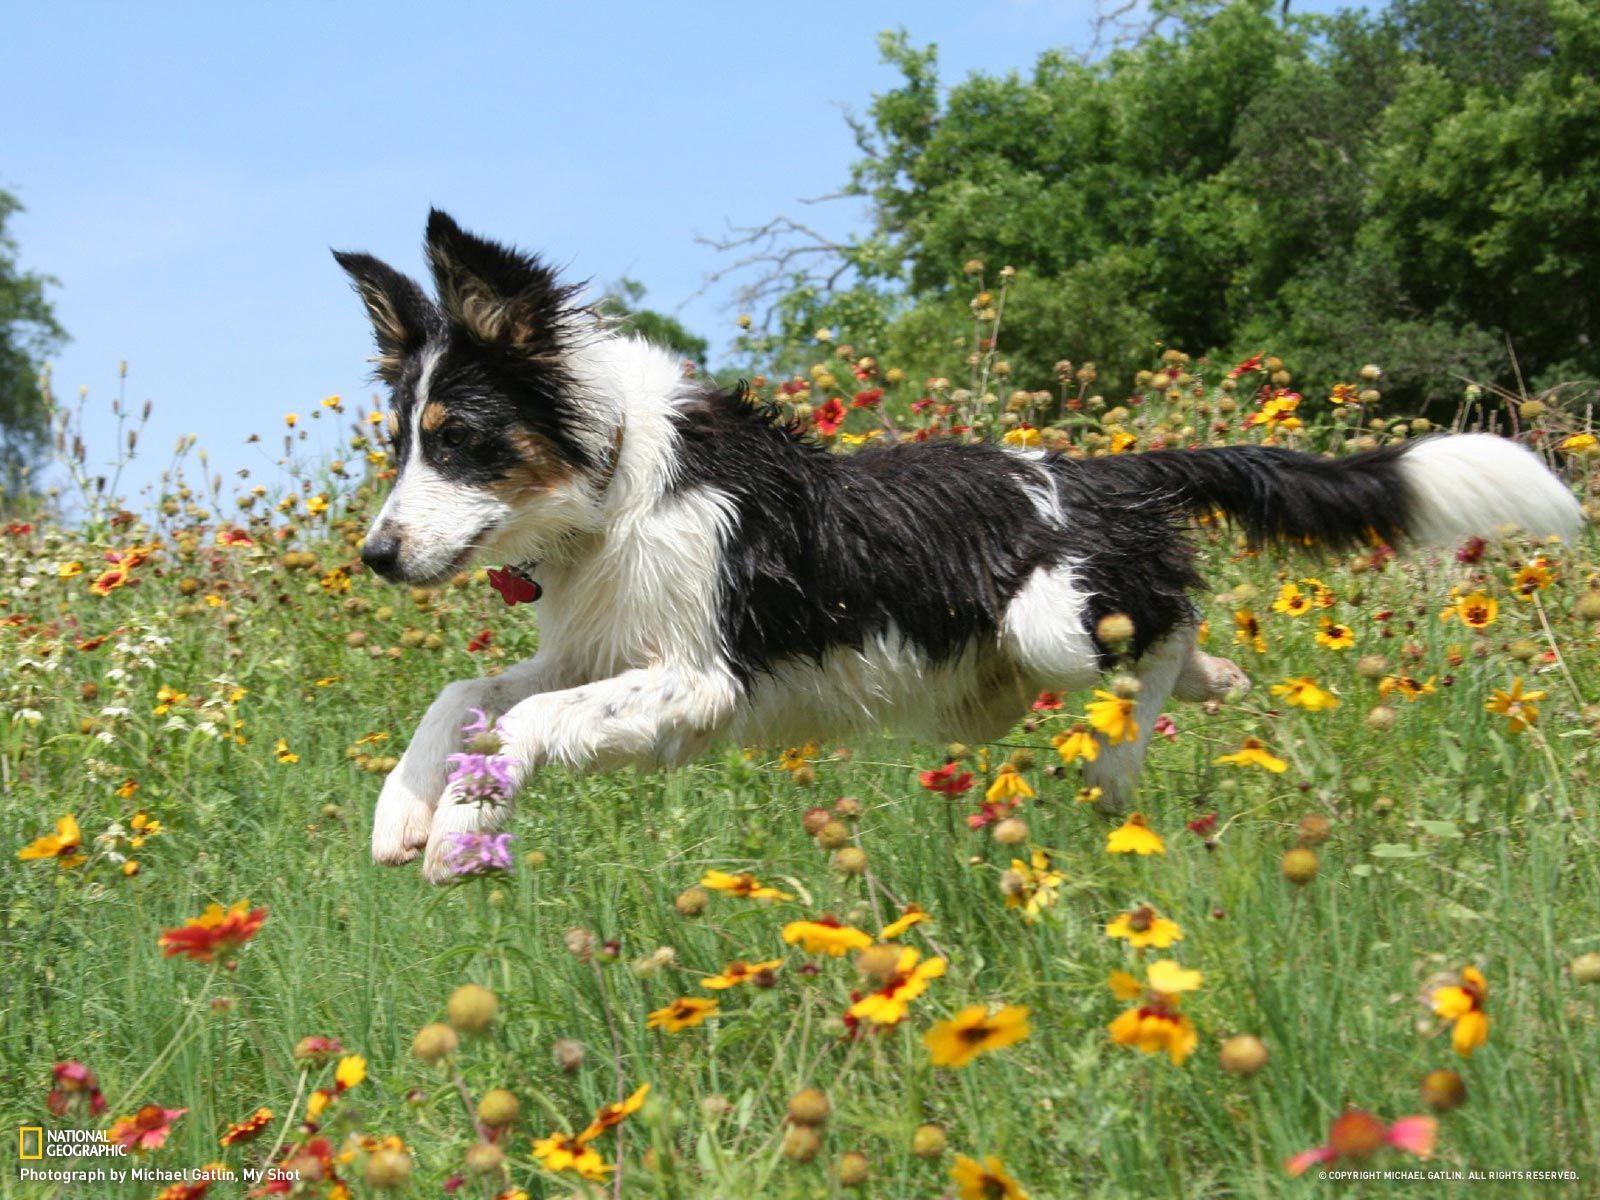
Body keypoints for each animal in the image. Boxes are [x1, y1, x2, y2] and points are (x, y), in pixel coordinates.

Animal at [334, 211, 1574, 883]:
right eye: (401, 441)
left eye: (462, 439)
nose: (376, 558)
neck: (620, 480)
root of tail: (1114, 470)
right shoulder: (596, 652)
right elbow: (465, 695)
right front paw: (405, 812)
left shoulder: (694, 679)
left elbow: (525, 722)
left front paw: (461, 833)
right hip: (997, 683)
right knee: (1182, 643)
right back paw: (1217, 685)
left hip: (1052, 623)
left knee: (1167, 622)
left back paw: (1123, 763)